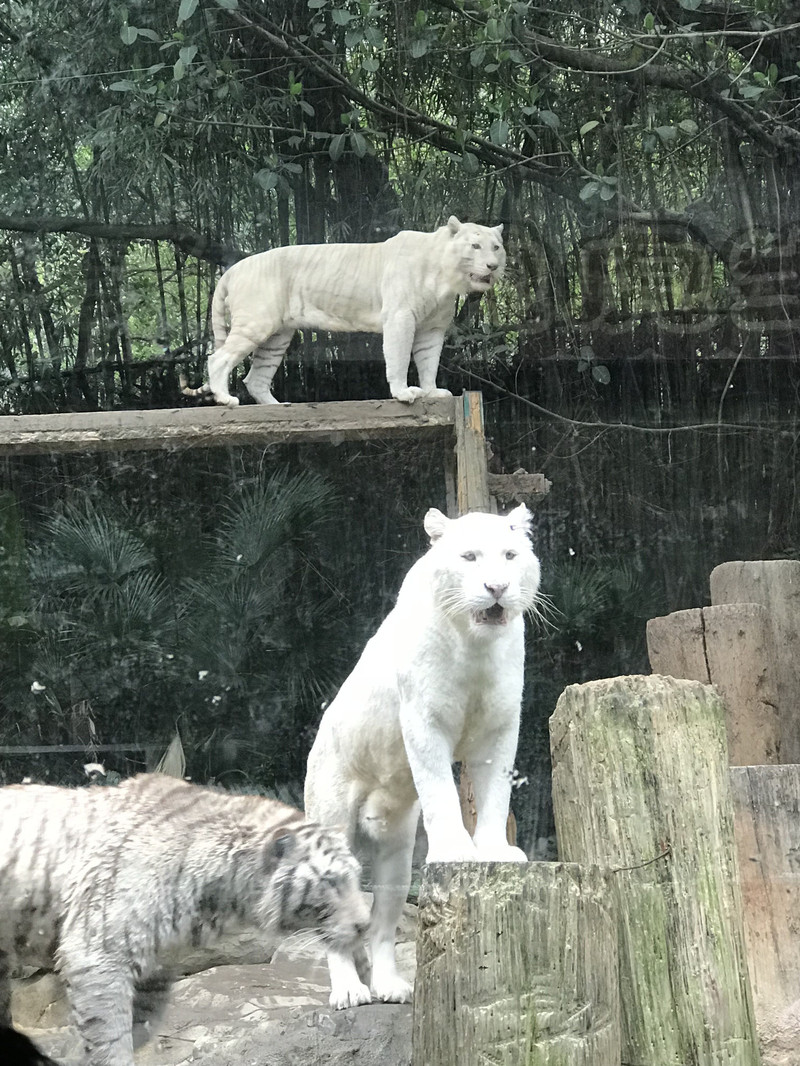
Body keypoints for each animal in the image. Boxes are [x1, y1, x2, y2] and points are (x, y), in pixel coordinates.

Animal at [0, 776, 369, 1066]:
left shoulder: (155, 967)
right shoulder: (99, 954)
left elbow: (137, 1025)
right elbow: (110, 1029)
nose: (365, 924)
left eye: (356, 876)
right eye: (332, 881)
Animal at [184, 214, 503, 405]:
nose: (493, 266)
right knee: (218, 358)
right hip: (256, 323)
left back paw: (278, 406)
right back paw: (226, 399)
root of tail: (232, 269)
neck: (446, 277)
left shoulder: (433, 328)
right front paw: (403, 393)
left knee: (255, 378)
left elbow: (428, 361)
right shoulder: (400, 318)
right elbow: (399, 358)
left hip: (277, 336)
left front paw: (432, 391)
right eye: (475, 246)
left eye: (496, 247)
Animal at [302, 503, 541, 1010]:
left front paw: (496, 852)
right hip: (331, 820)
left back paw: (390, 987)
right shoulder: (423, 720)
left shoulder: (500, 724)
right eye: (470, 557)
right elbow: (440, 791)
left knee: (383, 922)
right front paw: (457, 850)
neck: (476, 647)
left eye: (510, 556)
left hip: (395, 854)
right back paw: (349, 991)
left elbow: (495, 793)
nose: (497, 587)